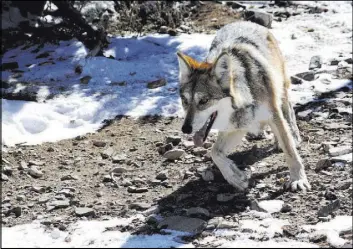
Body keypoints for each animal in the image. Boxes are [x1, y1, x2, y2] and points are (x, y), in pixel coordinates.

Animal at [175, 21, 308, 193]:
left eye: (203, 101)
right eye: (185, 101)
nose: (185, 129)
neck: (246, 96)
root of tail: (243, 22)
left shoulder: (273, 115)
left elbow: (290, 151)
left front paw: (298, 179)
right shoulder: (237, 127)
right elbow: (214, 152)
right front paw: (236, 177)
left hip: (281, 85)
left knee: (288, 108)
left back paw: (293, 135)